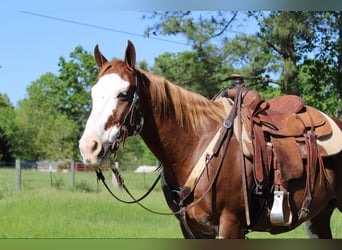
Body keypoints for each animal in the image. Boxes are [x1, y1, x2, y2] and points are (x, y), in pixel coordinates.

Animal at [78, 39, 342, 238]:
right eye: (92, 94)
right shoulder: (191, 229)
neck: (195, 146)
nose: (89, 148)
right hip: (319, 217)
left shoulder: (231, 225)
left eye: (123, 94)